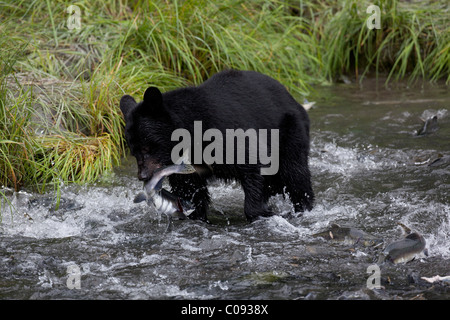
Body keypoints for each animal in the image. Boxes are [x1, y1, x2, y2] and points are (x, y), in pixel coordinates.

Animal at [121, 69, 314, 222]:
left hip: (289, 131)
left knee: (295, 174)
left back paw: (302, 208)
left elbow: (252, 163)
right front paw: (196, 216)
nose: (143, 176)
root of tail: (294, 100)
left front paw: (263, 213)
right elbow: (190, 188)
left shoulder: (225, 133)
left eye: (147, 148)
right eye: (133, 152)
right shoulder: (186, 167)